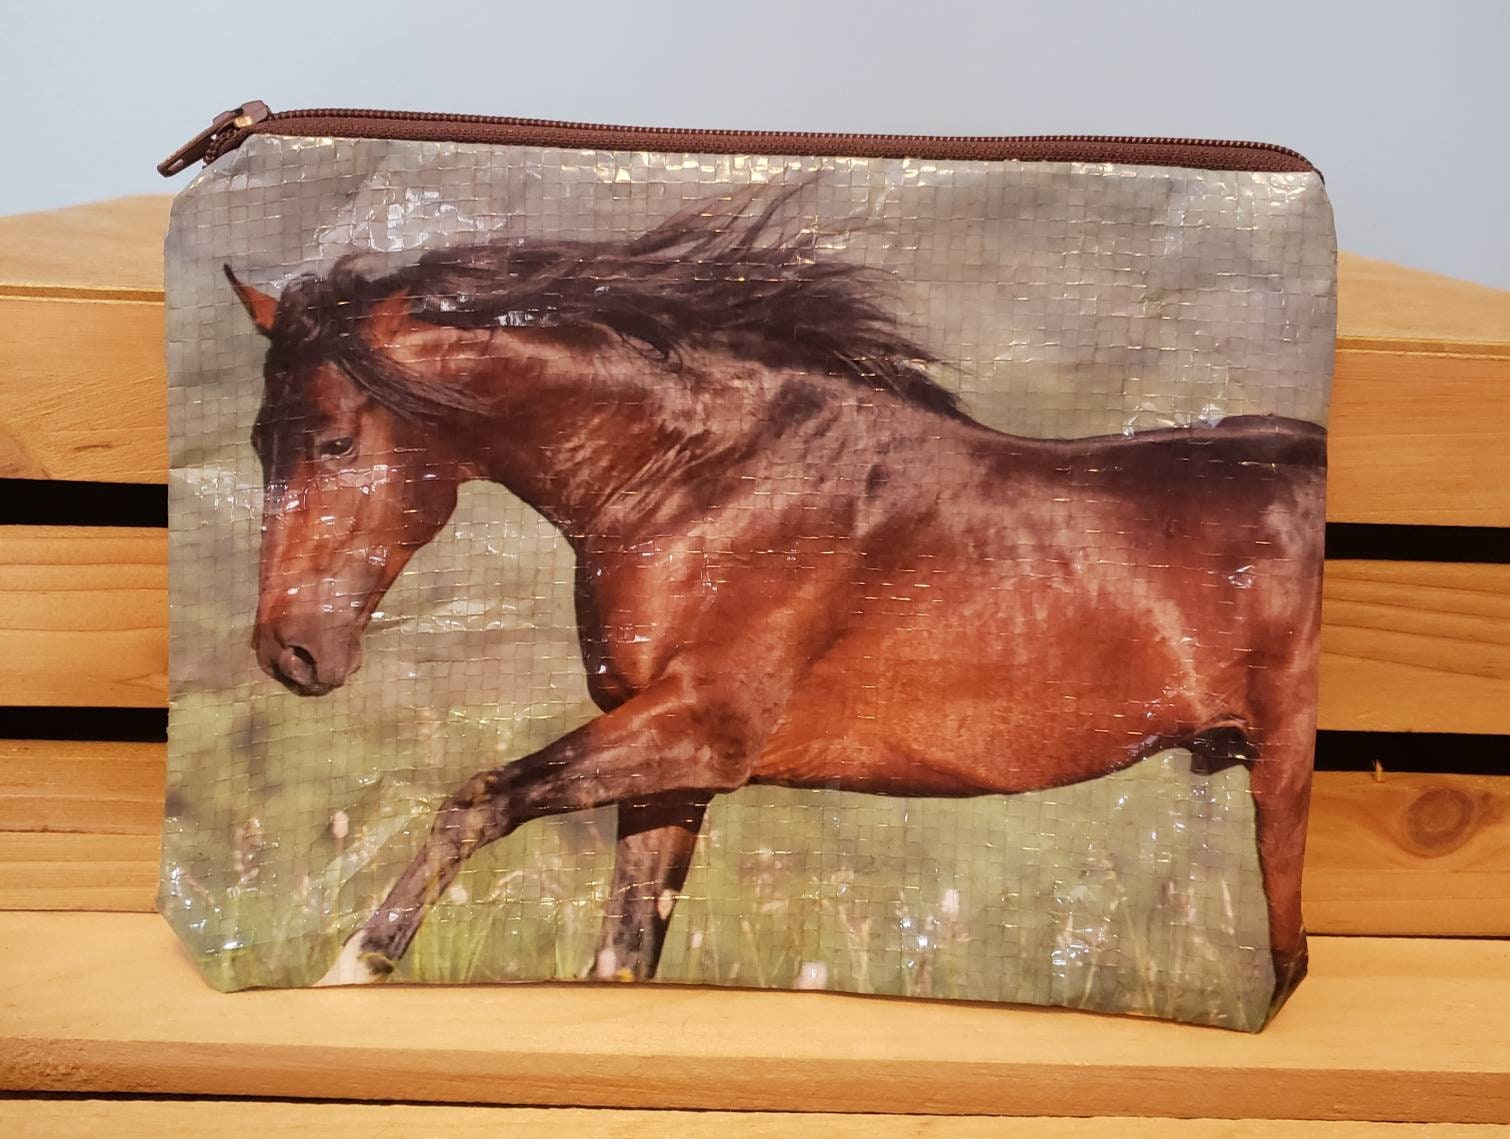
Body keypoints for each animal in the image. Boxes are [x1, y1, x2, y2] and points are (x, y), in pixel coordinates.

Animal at [225, 185, 1325, 1011]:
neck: (707, 480)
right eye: (257, 438)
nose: (291, 650)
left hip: (1283, 772)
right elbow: (619, 957)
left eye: (334, 439)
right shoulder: (667, 768)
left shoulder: (703, 728)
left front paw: (347, 970)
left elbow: (475, 799)